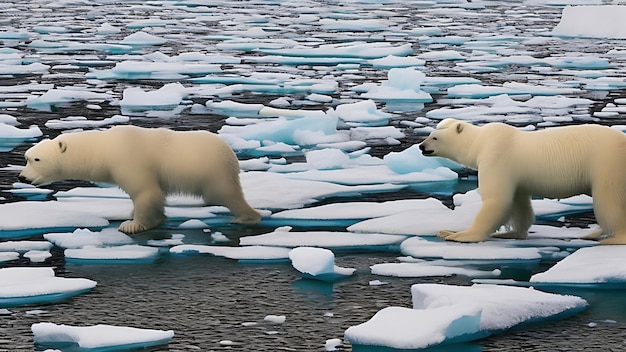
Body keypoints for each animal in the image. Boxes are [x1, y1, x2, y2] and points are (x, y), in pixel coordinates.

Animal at [20, 126, 260, 234]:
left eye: (36, 159)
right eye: (26, 157)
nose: (22, 177)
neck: (104, 149)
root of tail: (229, 152)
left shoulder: (129, 160)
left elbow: (146, 192)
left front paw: (133, 225)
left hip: (212, 172)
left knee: (227, 194)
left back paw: (247, 217)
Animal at [416, 119, 626, 243]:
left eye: (434, 137)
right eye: (429, 134)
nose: (421, 146)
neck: (480, 141)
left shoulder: (495, 156)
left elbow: (496, 201)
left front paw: (457, 234)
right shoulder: (516, 177)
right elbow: (519, 204)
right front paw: (511, 232)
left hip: (607, 163)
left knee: (609, 199)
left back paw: (612, 237)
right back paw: (593, 233)